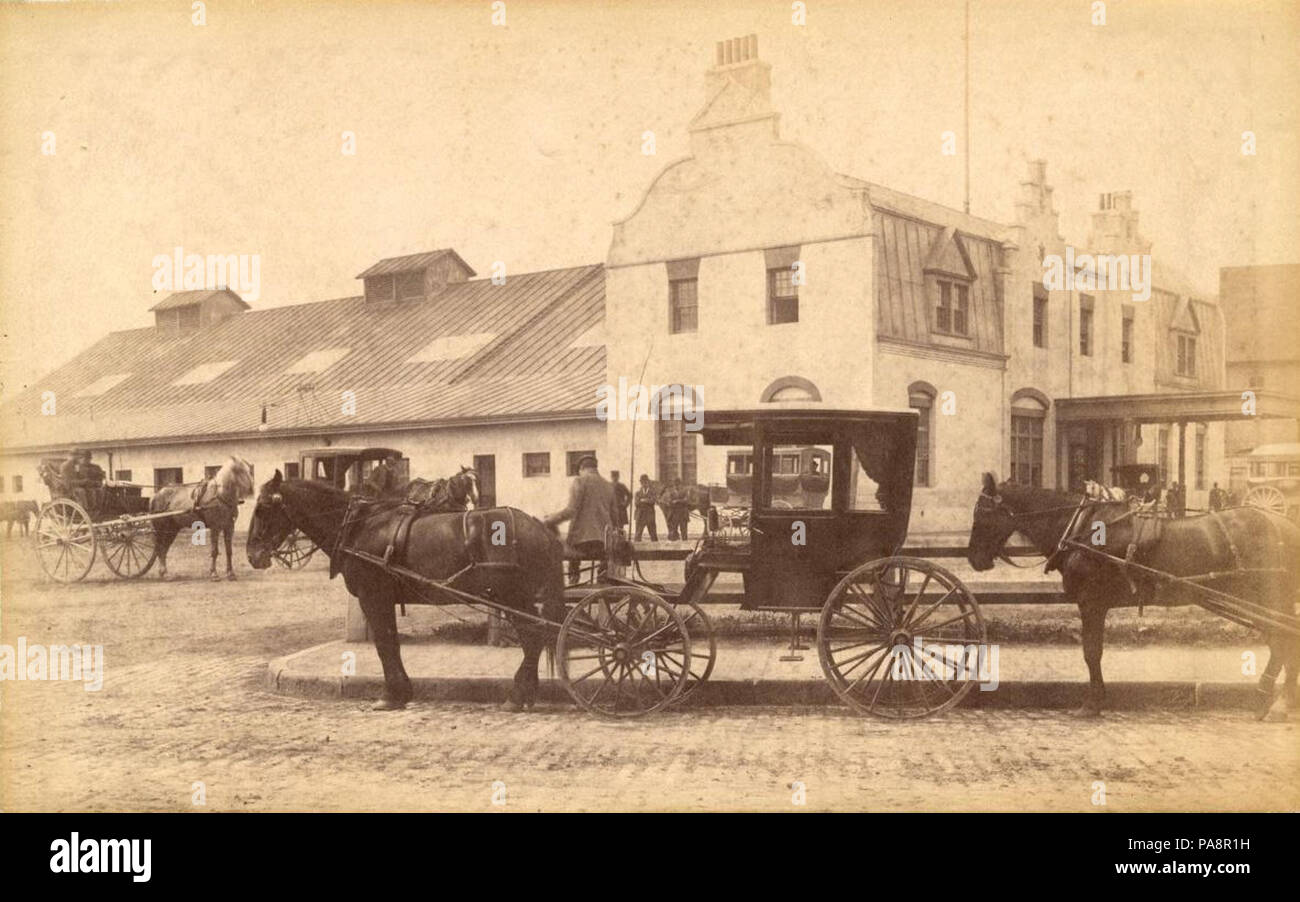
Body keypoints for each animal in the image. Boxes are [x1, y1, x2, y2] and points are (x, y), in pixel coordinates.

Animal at [245, 473, 566, 712]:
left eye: (262, 508)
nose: (252, 554)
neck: (359, 525)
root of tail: (538, 525)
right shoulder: (381, 598)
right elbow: (392, 644)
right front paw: (401, 692)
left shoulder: (373, 596)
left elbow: (385, 645)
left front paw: (391, 694)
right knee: (535, 638)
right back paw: (526, 693)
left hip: (513, 597)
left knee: (533, 637)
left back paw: (517, 695)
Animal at [972, 473, 1294, 722]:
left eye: (982, 513)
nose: (975, 559)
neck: (1081, 528)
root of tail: (1282, 523)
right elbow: (1092, 653)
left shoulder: (1091, 603)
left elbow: (1091, 653)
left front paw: (1093, 703)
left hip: (1264, 599)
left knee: (1281, 642)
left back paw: (1272, 702)